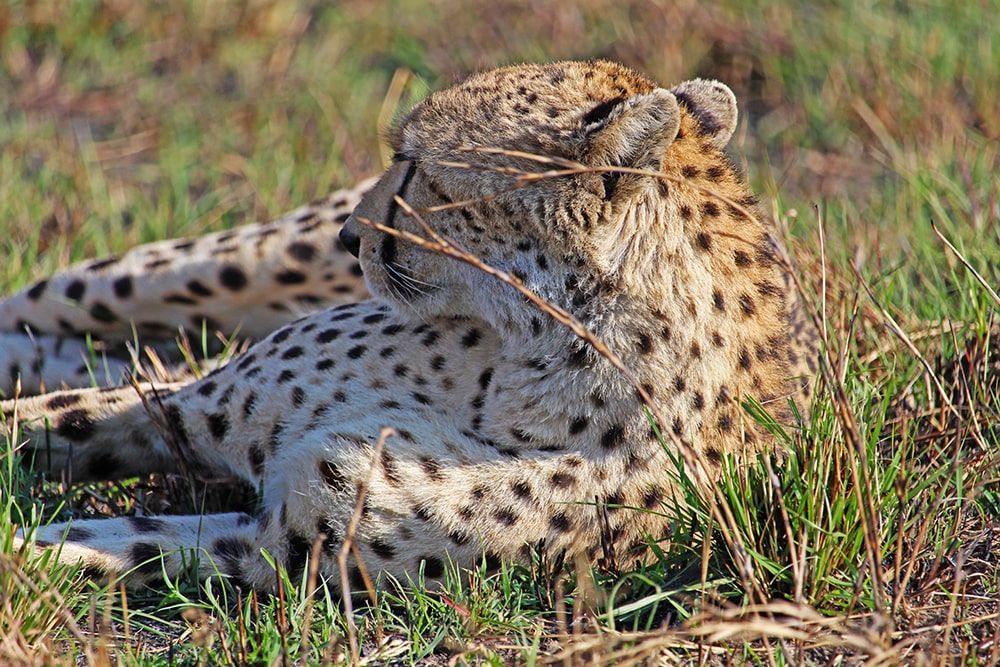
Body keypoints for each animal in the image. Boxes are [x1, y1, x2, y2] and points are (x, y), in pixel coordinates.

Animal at [4, 60, 816, 593]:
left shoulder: (278, 546)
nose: (350, 235)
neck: (533, 358)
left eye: (417, 166)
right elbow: (42, 421)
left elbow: (111, 539)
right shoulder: (189, 406)